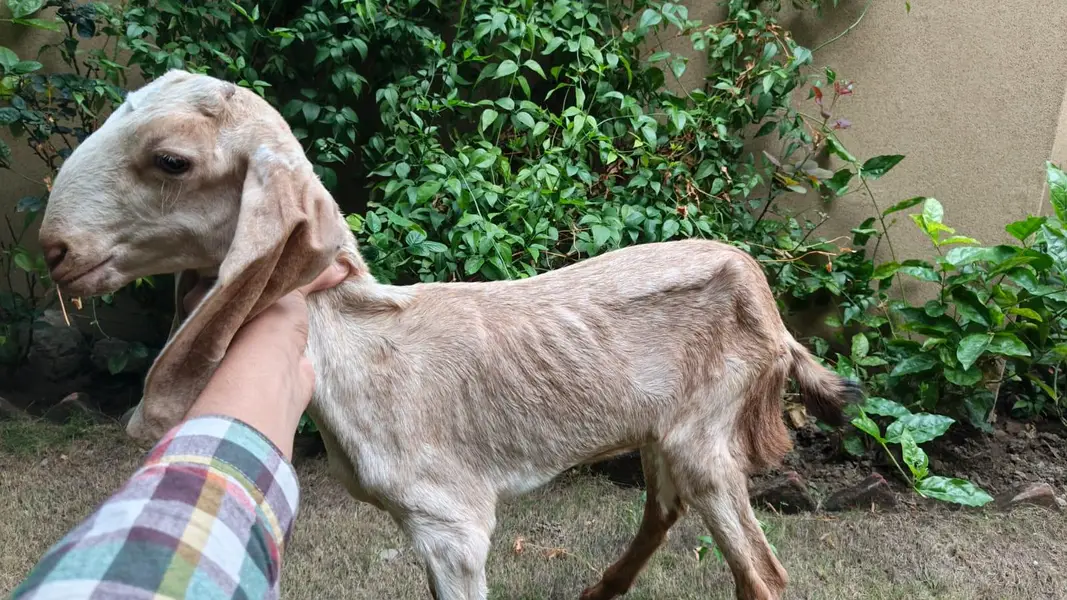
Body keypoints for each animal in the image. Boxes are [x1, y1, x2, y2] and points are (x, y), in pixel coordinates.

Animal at [38, 70, 860, 600]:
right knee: (663, 510)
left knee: (762, 574)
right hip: (664, 428)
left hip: (704, 433)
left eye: (171, 159)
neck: (363, 348)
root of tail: (764, 297)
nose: (55, 251)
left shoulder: (449, 522)